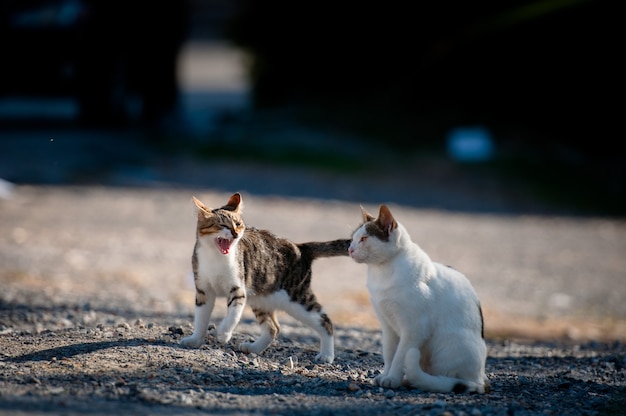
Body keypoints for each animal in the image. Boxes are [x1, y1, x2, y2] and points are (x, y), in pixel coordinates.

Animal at [178, 193, 348, 362]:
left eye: (238, 224)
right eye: (222, 225)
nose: (235, 233)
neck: (215, 257)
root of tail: (300, 247)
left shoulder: (238, 289)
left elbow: (234, 315)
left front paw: (224, 333)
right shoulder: (203, 290)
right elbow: (201, 318)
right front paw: (195, 340)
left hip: (297, 298)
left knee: (325, 321)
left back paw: (326, 355)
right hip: (261, 299)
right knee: (273, 328)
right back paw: (253, 348)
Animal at [346, 205, 488, 394]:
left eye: (364, 238)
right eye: (352, 239)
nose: (350, 249)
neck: (382, 271)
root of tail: (480, 380)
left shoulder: (415, 328)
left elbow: (400, 357)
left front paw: (392, 379)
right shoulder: (387, 326)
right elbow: (389, 354)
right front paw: (386, 375)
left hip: (450, 344)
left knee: (455, 380)